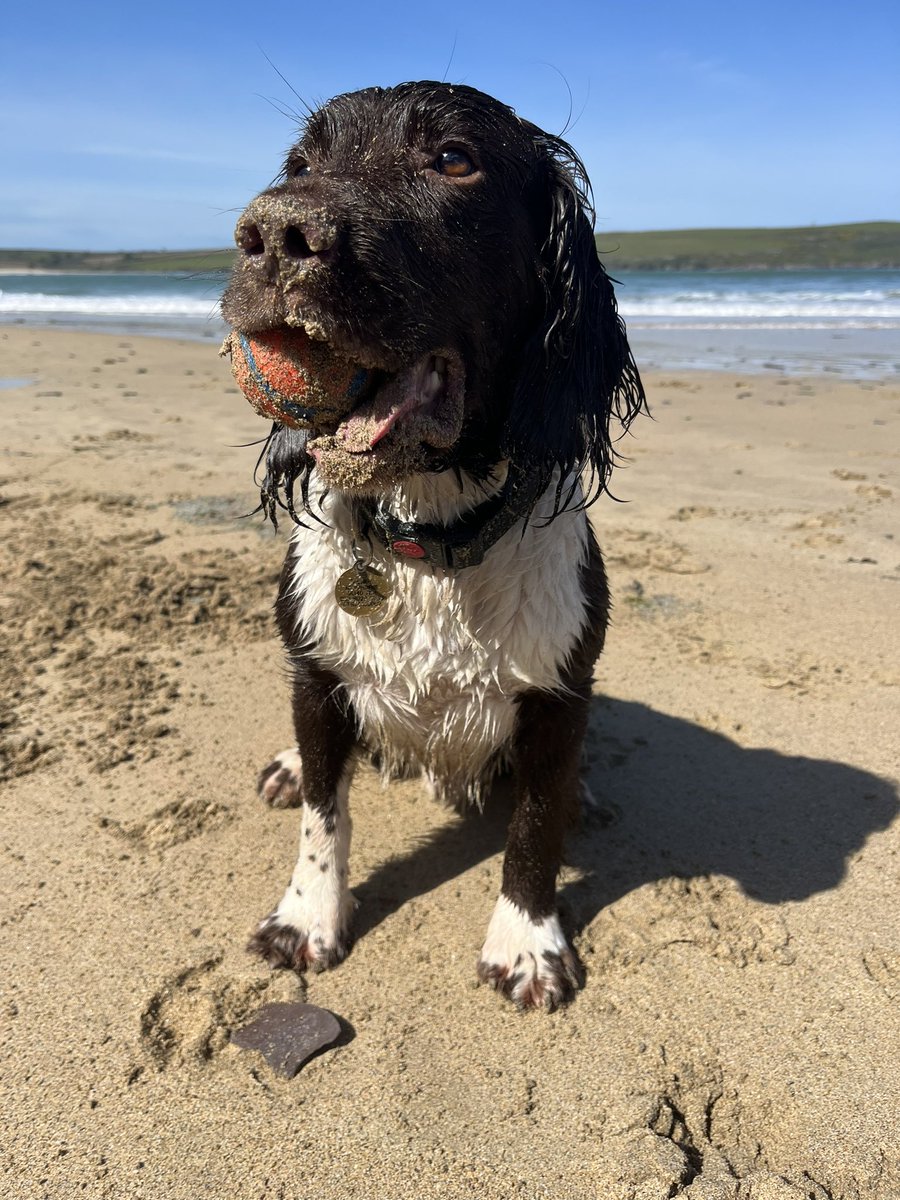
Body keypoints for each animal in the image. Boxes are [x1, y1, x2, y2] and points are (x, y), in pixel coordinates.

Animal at [220, 79, 643, 1008]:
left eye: (453, 159)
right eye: (299, 164)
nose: (273, 233)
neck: (429, 538)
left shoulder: (556, 695)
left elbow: (535, 827)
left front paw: (527, 944)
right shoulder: (319, 669)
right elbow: (326, 814)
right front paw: (305, 919)